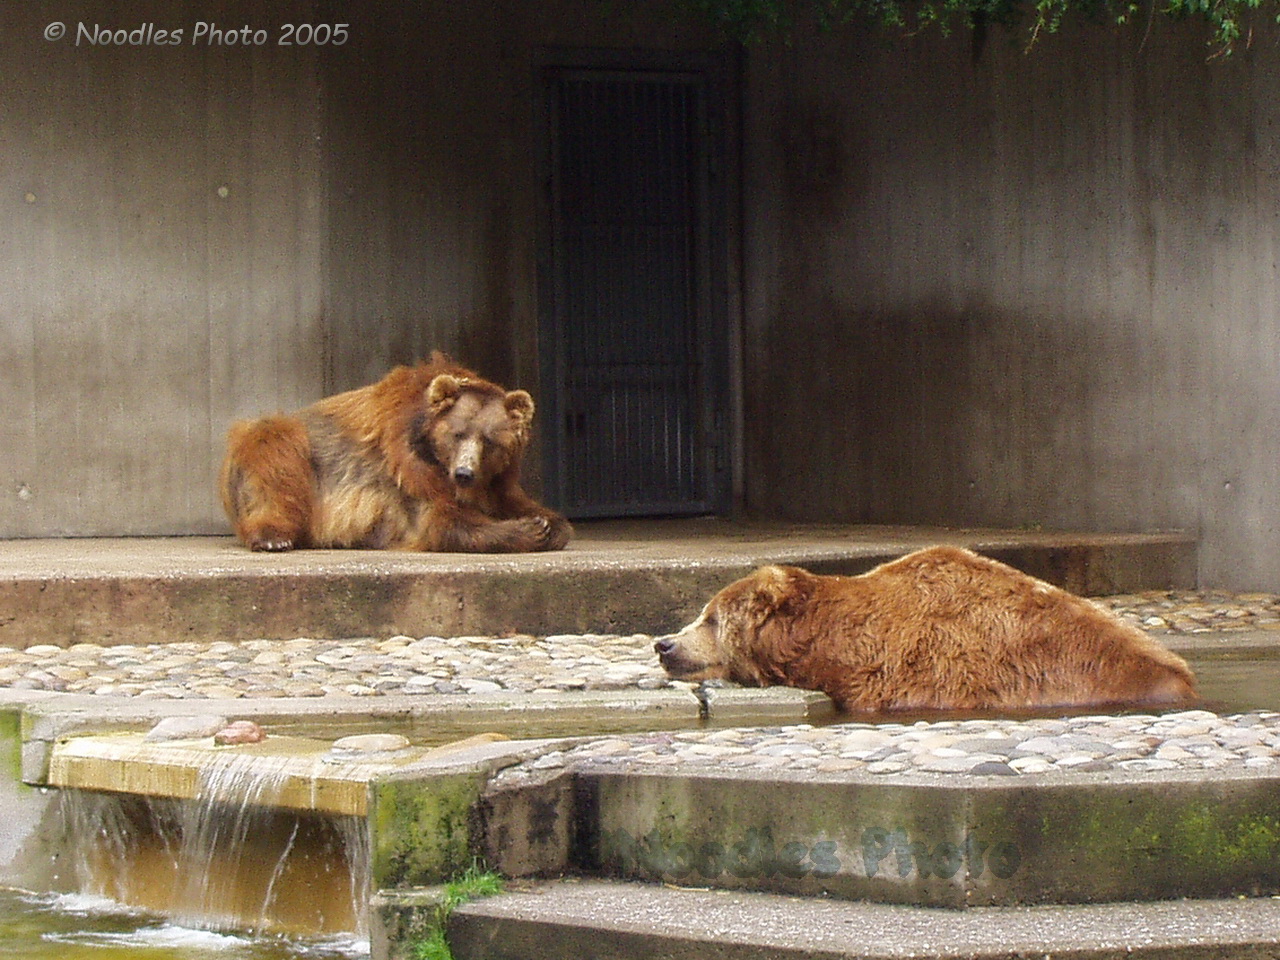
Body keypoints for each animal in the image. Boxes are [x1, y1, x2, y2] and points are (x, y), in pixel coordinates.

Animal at [218, 352, 572, 553]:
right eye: (457, 433)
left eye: (490, 440)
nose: (464, 473)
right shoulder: (405, 467)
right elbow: (439, 520)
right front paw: (528, 529)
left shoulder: (497, 479)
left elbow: (520, 503)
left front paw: (546, 523)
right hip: (285, 449)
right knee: (274, 459)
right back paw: (272, 537)